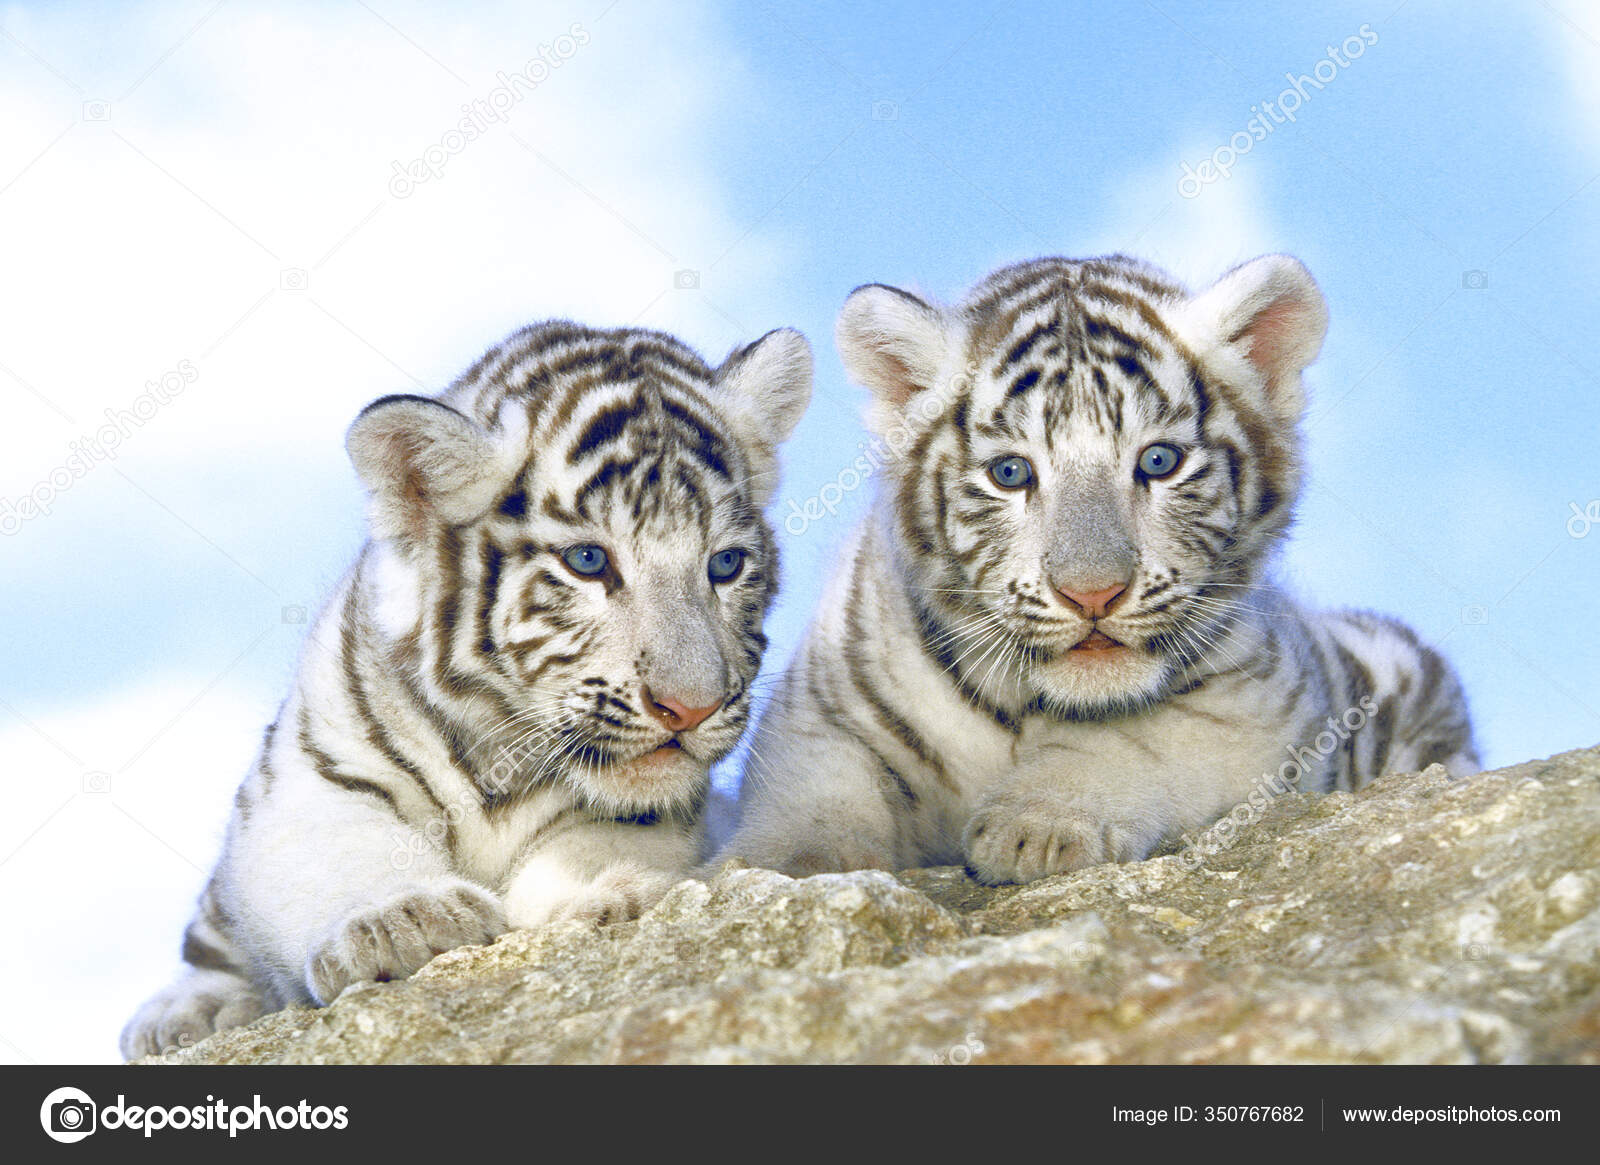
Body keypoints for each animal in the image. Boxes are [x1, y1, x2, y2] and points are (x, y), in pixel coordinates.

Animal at [120, 320, 812, 1059]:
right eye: (588, 560)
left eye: (726, 565)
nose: (691, 708)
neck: (499, 753)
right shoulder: (306, 777)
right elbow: (338, 850)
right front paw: (405, 919)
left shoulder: (662, 806)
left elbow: (596, 840)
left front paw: (613, 890)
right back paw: (187, 1012)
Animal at [719, 252, 1478, 885]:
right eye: (1011, 472)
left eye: (1160, 461)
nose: (1093, 594)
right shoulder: (820, 708)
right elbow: (817, 797)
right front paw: (779, 866)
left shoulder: (1262, 704)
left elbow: (1137, 737)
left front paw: (1041, 824)